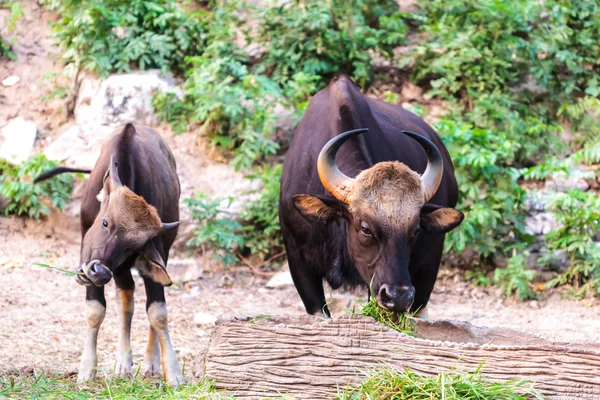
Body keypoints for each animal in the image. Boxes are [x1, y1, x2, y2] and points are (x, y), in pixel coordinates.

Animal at [35, 123, 184, 386]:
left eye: (133, 247)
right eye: (105, 222)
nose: (99, 271)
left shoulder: (154, 255)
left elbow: (158, 313)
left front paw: (172, 370)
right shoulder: (88, 253)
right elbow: (96, 310)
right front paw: (86, 369)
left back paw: (150, 362)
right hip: (120, 271)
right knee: (126, 300)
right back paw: (123, 363)